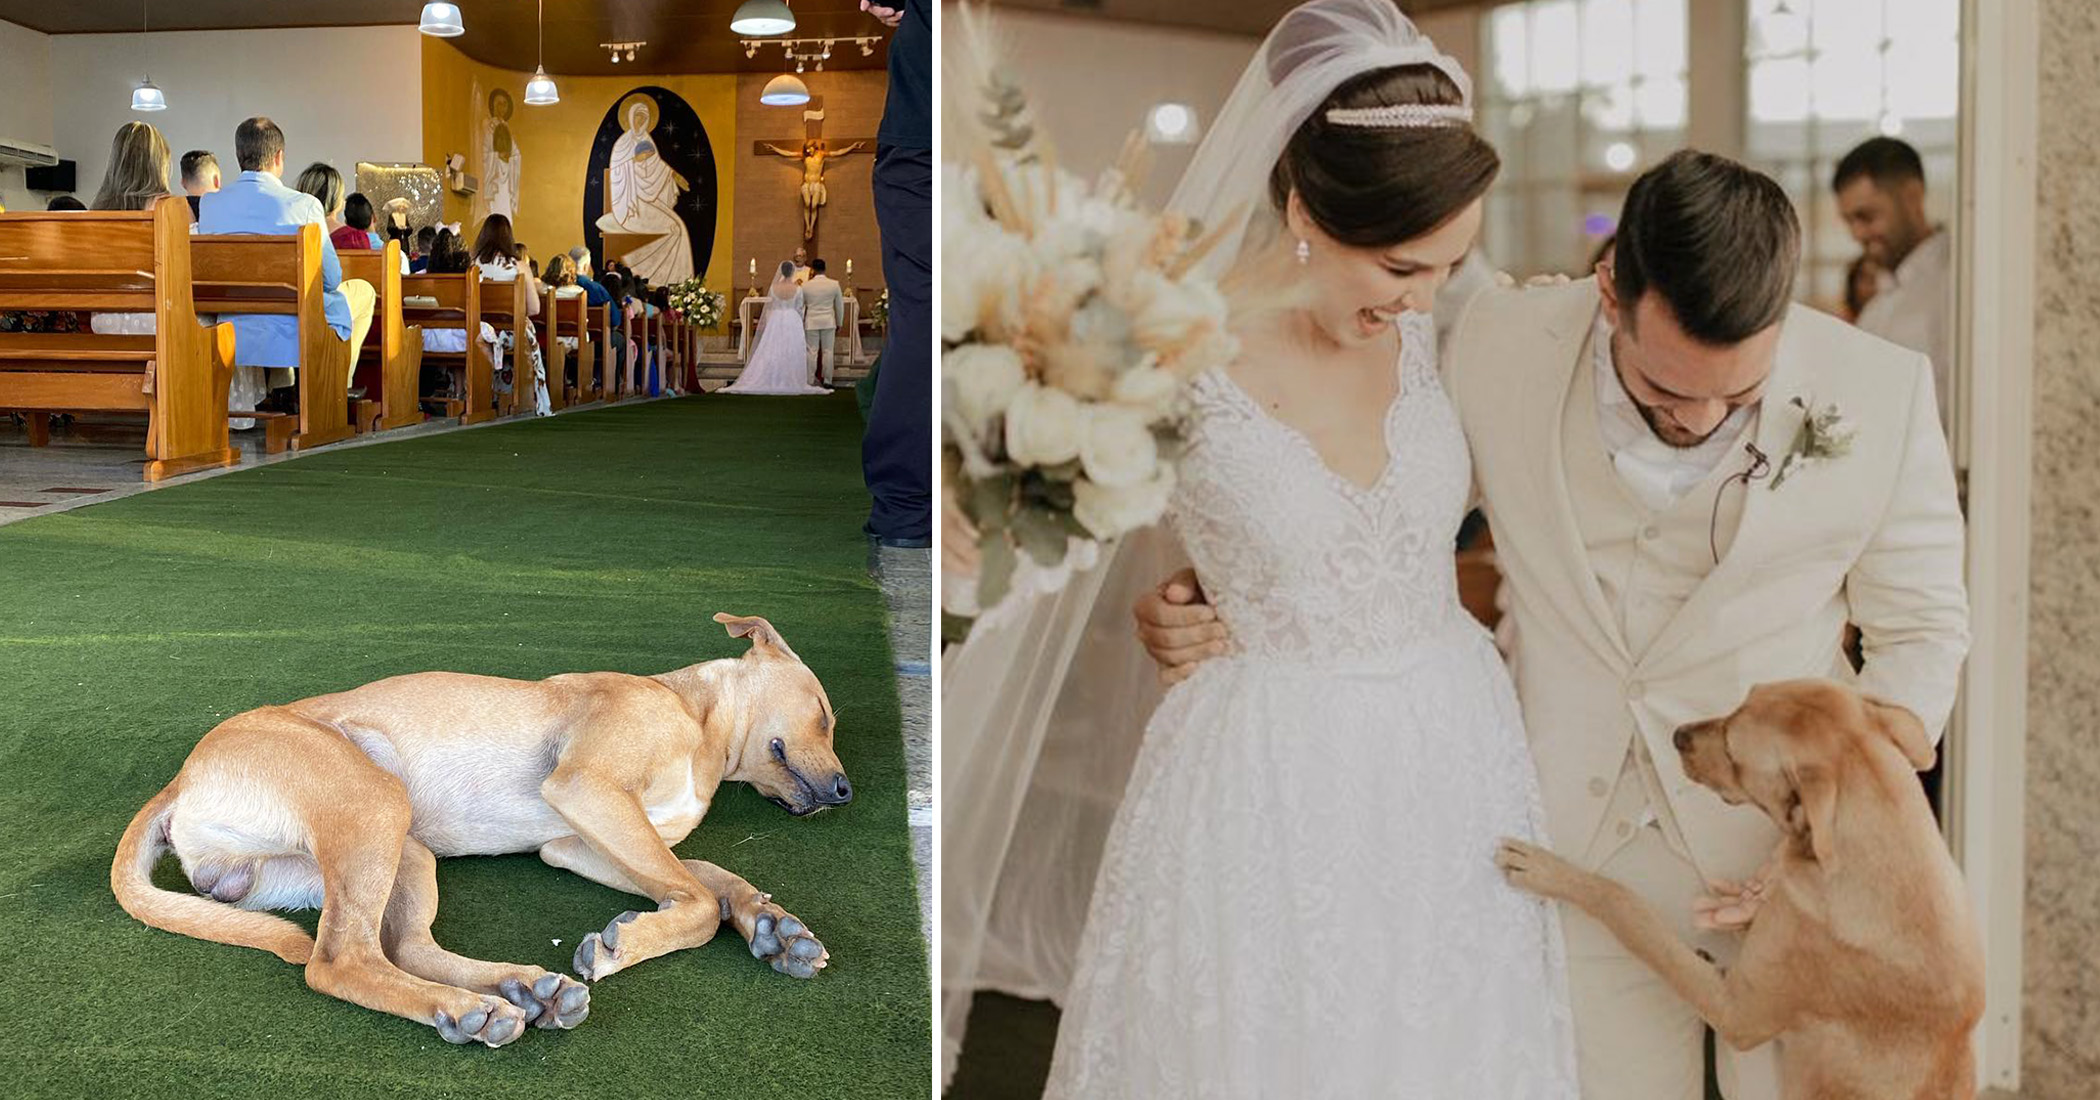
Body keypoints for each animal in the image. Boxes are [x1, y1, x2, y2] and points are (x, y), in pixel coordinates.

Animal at [110, 608, 848, 1049]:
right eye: (824, 713)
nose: (844, 793)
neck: (696, 717)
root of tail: (179, 782)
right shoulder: (589, 791)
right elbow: (694, 903)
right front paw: (629, 942)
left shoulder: (578, 841)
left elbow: (709, 881)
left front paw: (775, 928)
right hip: (374, 801)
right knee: (341, 959)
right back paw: (478, 1007)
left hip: (397, 850)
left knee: (401, 945)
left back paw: (517, 991)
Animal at [1495, 680, 1982, 1100]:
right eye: (1742, 699)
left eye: (1733, 748)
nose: (1676, 734)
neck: (1889, 853)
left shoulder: (1735, 1012)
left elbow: (1627, 906)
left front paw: (1550, 870)